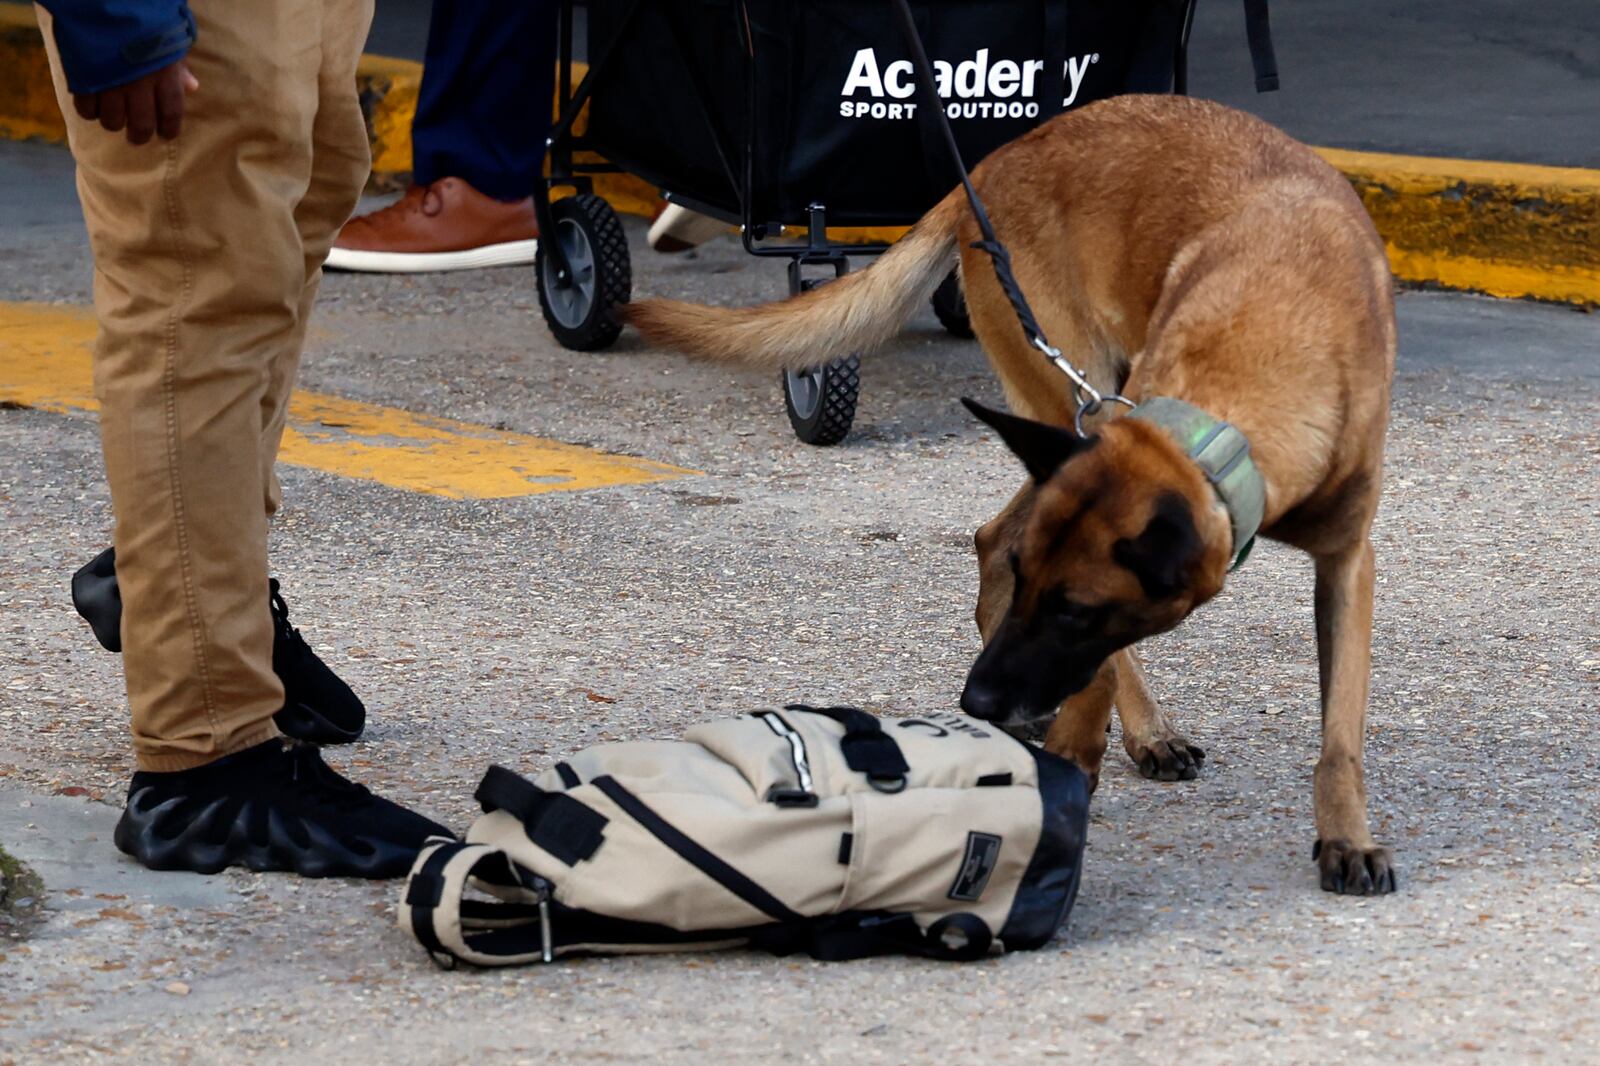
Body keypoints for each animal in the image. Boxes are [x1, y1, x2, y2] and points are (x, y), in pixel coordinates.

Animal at [627, 91, 1401, 889]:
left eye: (1074, 612)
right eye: (1050, 598)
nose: (978, 700)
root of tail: (998, 159)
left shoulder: (1347, 563)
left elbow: (1340, 731)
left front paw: (1346, 837)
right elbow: (1095, 676)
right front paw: (1069, 769)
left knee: (992, 534)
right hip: (1071, 398)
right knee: (1000, 539)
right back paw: (1133, 728)